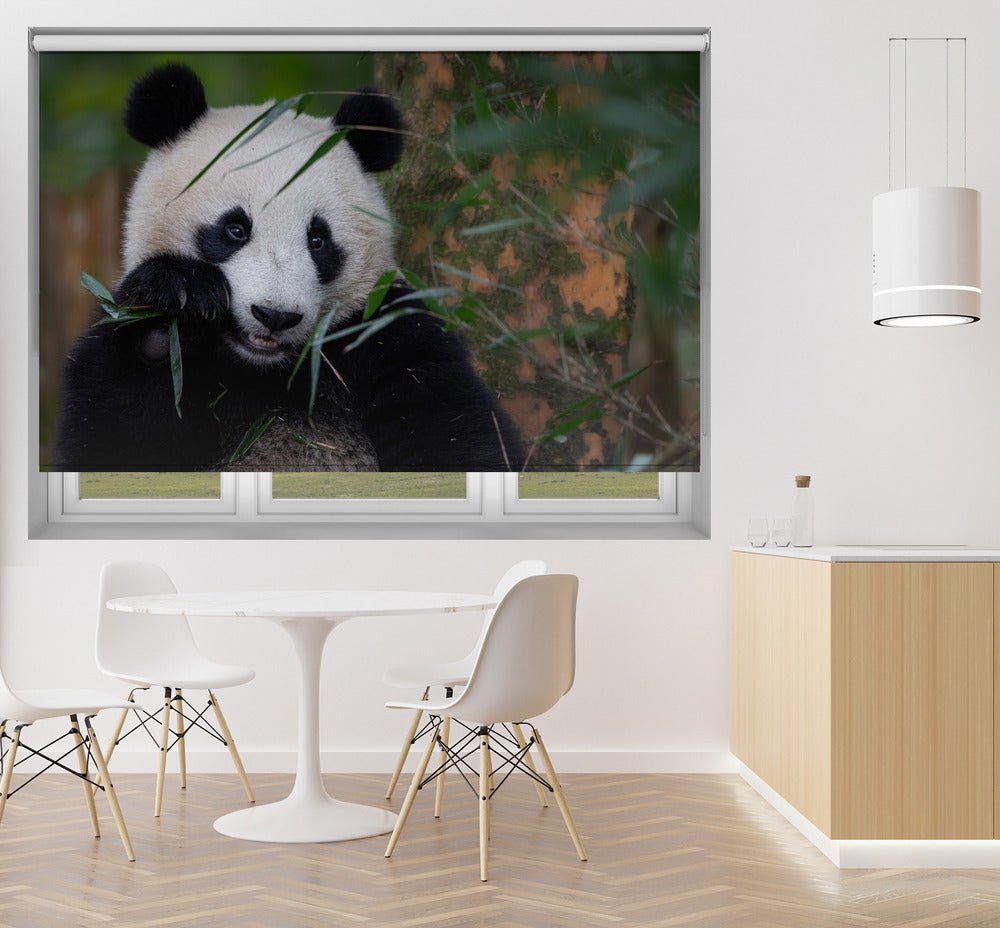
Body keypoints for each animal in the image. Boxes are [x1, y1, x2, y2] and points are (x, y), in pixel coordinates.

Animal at [54, 63, 524, 473]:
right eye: (235, 229)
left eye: (318, 240)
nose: (275, 316)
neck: (265, 368)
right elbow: (112, 438)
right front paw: (175, 307)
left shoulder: (386, 332)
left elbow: (458, 433)